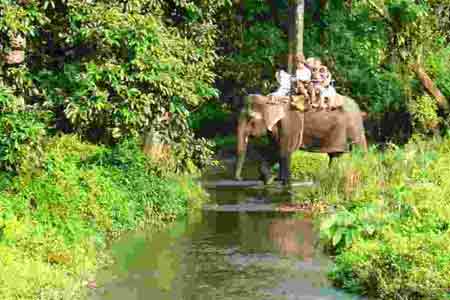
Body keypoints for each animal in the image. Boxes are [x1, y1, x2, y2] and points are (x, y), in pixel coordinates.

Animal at [234, 95, 368, 185]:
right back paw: (330, 177)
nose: (240, 179)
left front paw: (286, 183)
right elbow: (274, 150)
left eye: (250, 119)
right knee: (335, 156)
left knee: (359, 151)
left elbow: (284, 151)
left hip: (354, 126)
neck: (268, 99)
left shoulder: (290, 124)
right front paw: (270, 180)